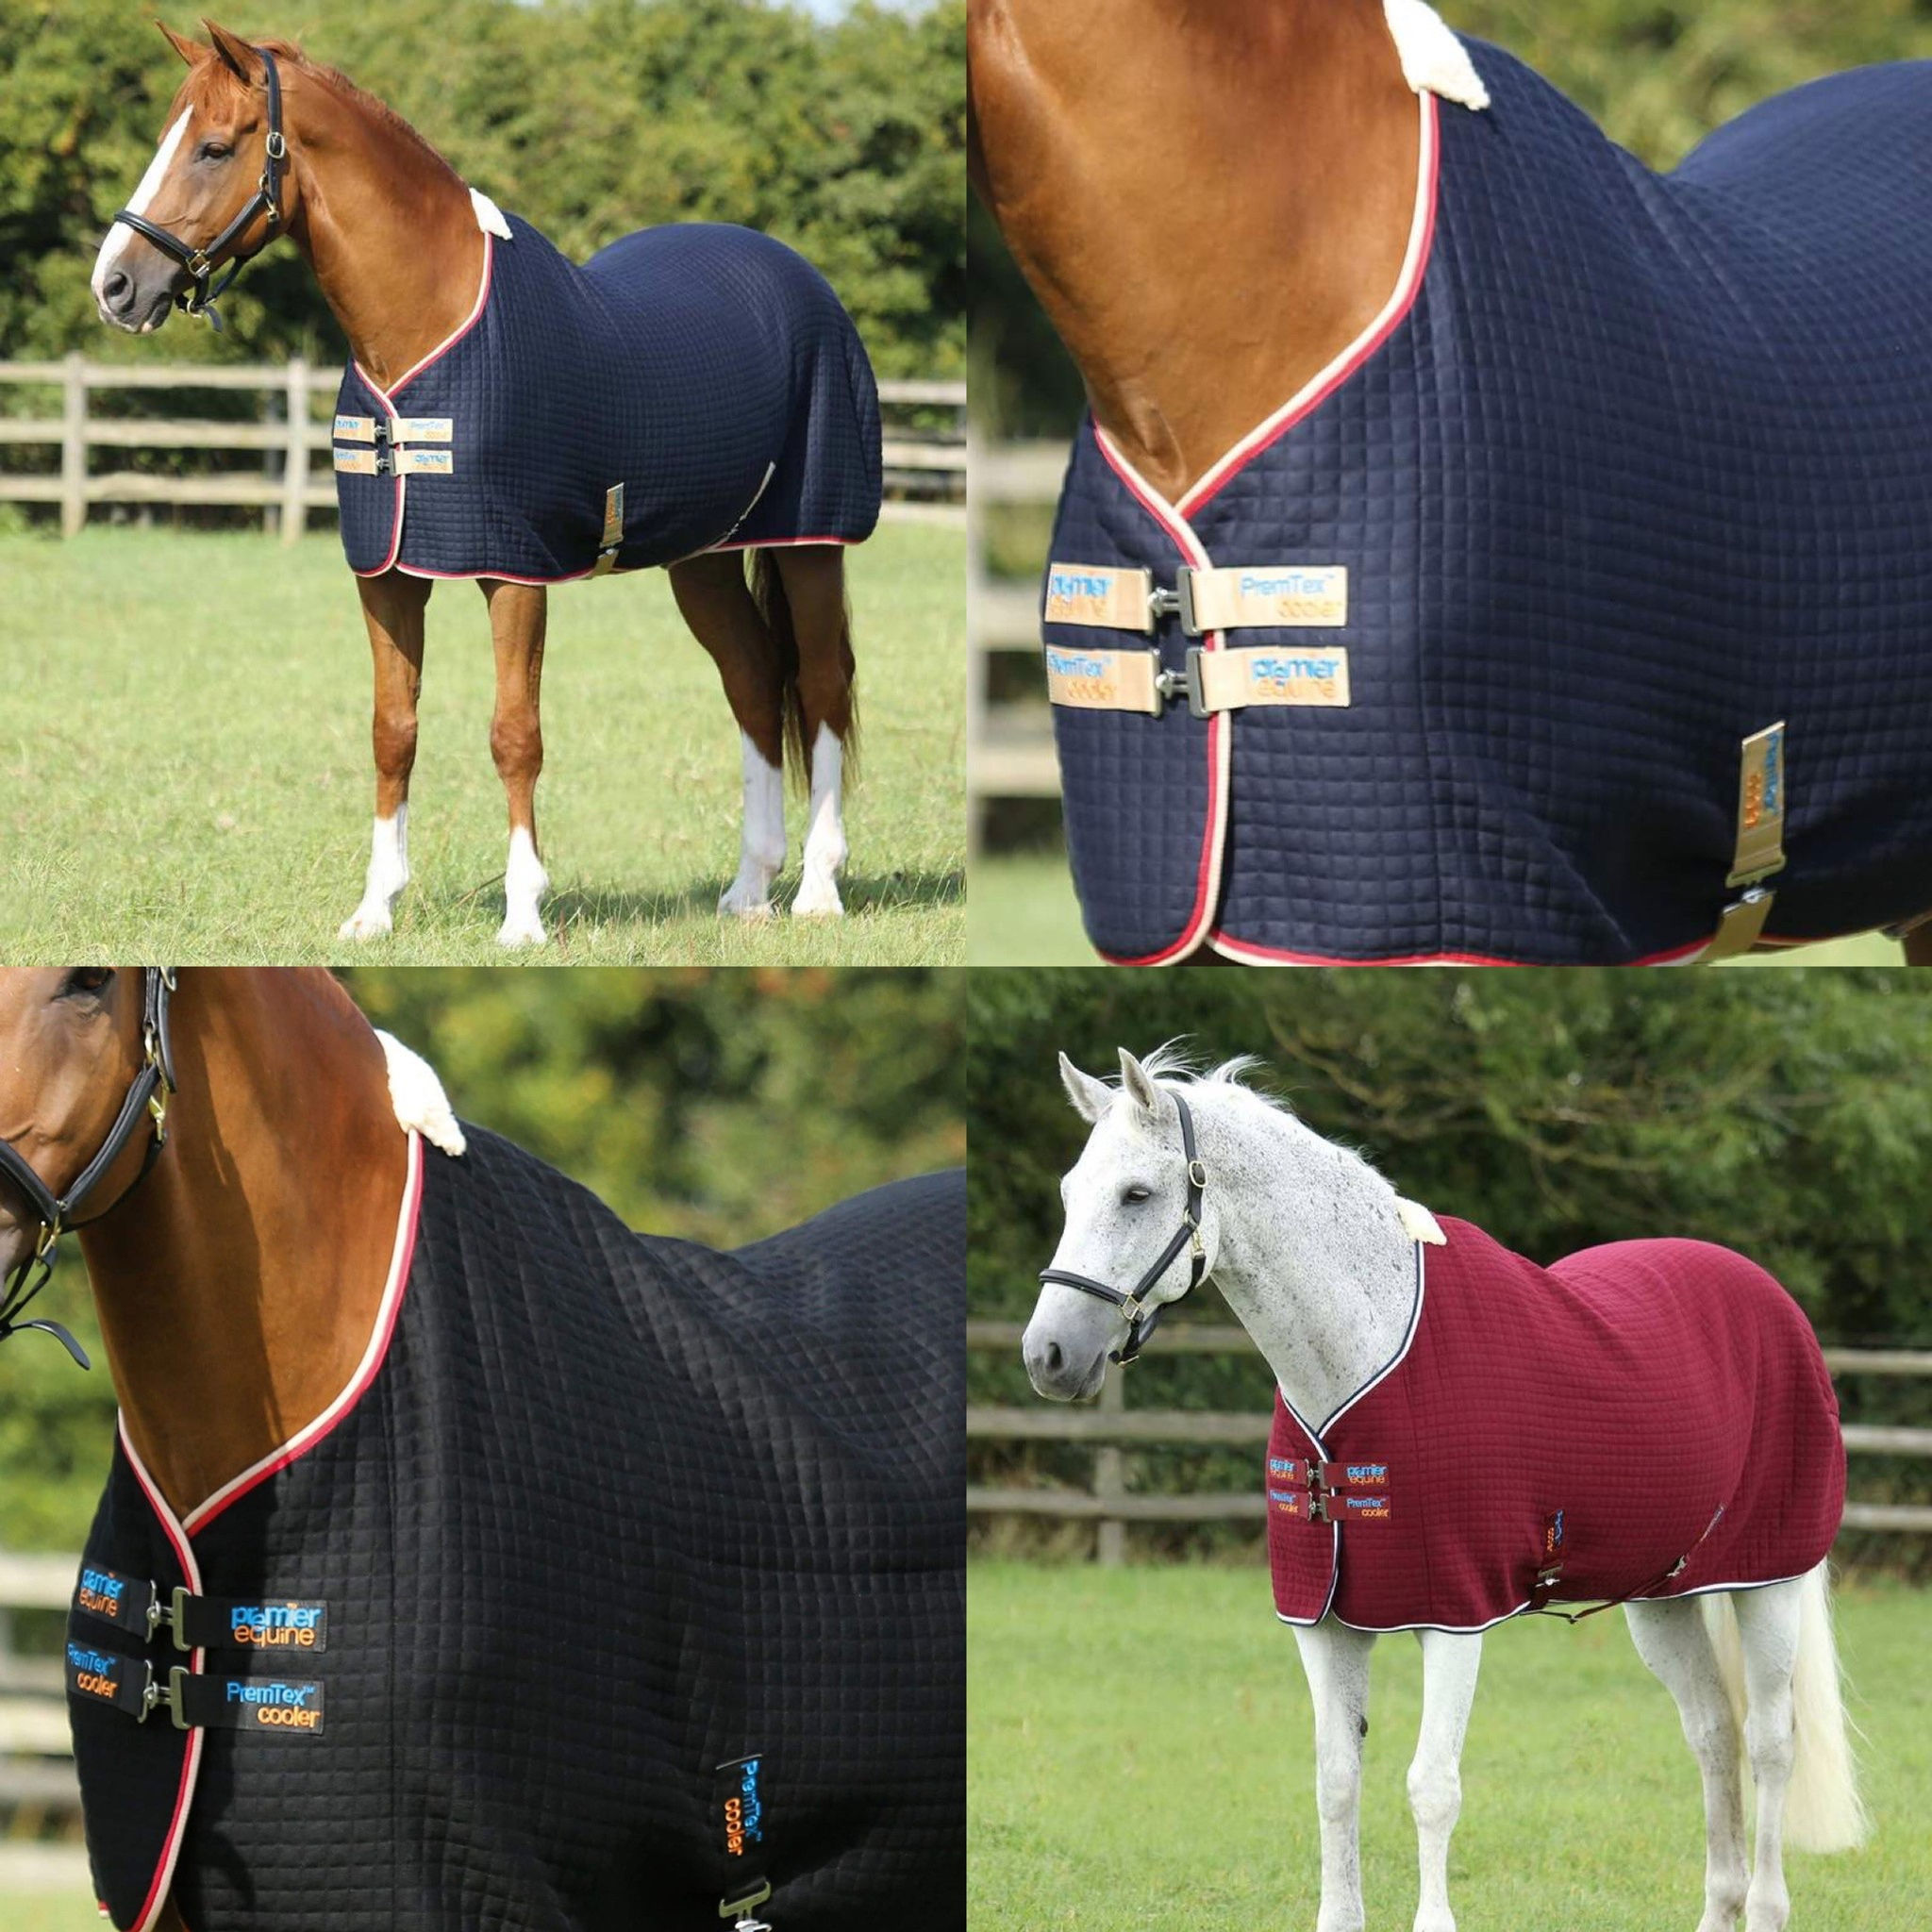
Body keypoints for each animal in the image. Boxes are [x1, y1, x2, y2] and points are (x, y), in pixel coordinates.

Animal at [92, 22, 881, 945]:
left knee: (821, 689)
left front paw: (523, 914)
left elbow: (515, 734)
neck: (429, 325)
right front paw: (374, 909)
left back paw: (817, 887)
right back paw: (749, 887)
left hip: (812, 543)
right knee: (754, 683)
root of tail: (804, 282)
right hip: (706, 559)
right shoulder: (387, 574)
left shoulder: (515, 572)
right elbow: (392, 731)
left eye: (215, 147)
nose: (115, 285)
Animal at [1023, 1046, 1866, 1932]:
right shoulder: (1324, 1623)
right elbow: (1336, 1784)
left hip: (1769, 1581)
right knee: (1711, 1731)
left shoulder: (1454, 1615)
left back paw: (1765, 1901)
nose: (1047, 1356)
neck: (1367, 1350)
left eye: (1136, 1194)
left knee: (1770, 1741)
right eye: (1071, 1193)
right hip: (1661, 1597)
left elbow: (1432, 1789)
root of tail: (1772, 1299)